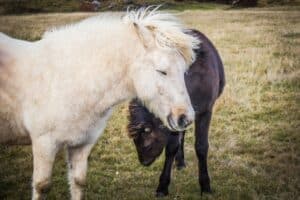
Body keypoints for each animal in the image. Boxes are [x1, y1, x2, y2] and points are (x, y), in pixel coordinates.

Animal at [0, 7, 199, 199]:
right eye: (161, 71)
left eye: (184, 70)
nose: (186, 118)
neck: (66, 78)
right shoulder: (44, 144)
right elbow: (42, 186)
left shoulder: (81, 145)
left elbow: (78, 182)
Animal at [127, 29, 225, 197]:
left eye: (146, 143)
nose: (143, 162)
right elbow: (171, 147)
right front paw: (163, 186)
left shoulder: (206, 111)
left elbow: (201, 146)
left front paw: (205, 186)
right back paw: (180, 162)